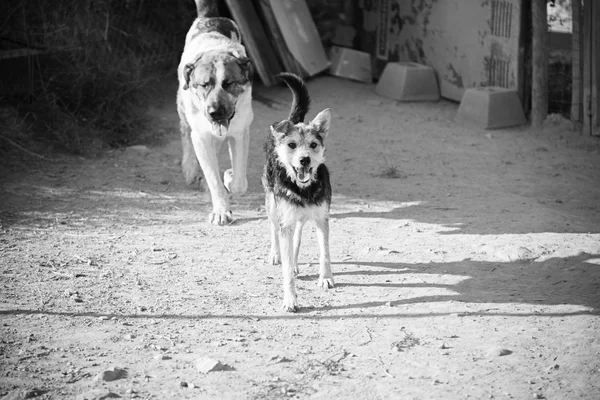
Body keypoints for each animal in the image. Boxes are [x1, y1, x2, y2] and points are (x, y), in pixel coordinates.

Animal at [177, 0, 254, 225]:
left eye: (228, 84)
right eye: (204, 85)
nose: (214, 112)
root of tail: (210, 17)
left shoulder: (240, 133)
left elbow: (239, 183)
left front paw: (229, 176)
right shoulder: (201, 137)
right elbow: (213, 180)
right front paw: (221, 211)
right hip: (182, 106)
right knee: (185, 132)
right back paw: (190, 168)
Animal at [262, 72, 332, 312]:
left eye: (313, 144)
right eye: (292, 145)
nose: (304, 160)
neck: (304, 189)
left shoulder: (322, 218)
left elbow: (324, 253)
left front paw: (325, 278)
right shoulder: (286, 219)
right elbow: (286, 273)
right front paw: (290, 299)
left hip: (297, 217)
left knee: (298, 235)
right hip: (273, 205)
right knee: (274, 229)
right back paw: (276, 255)